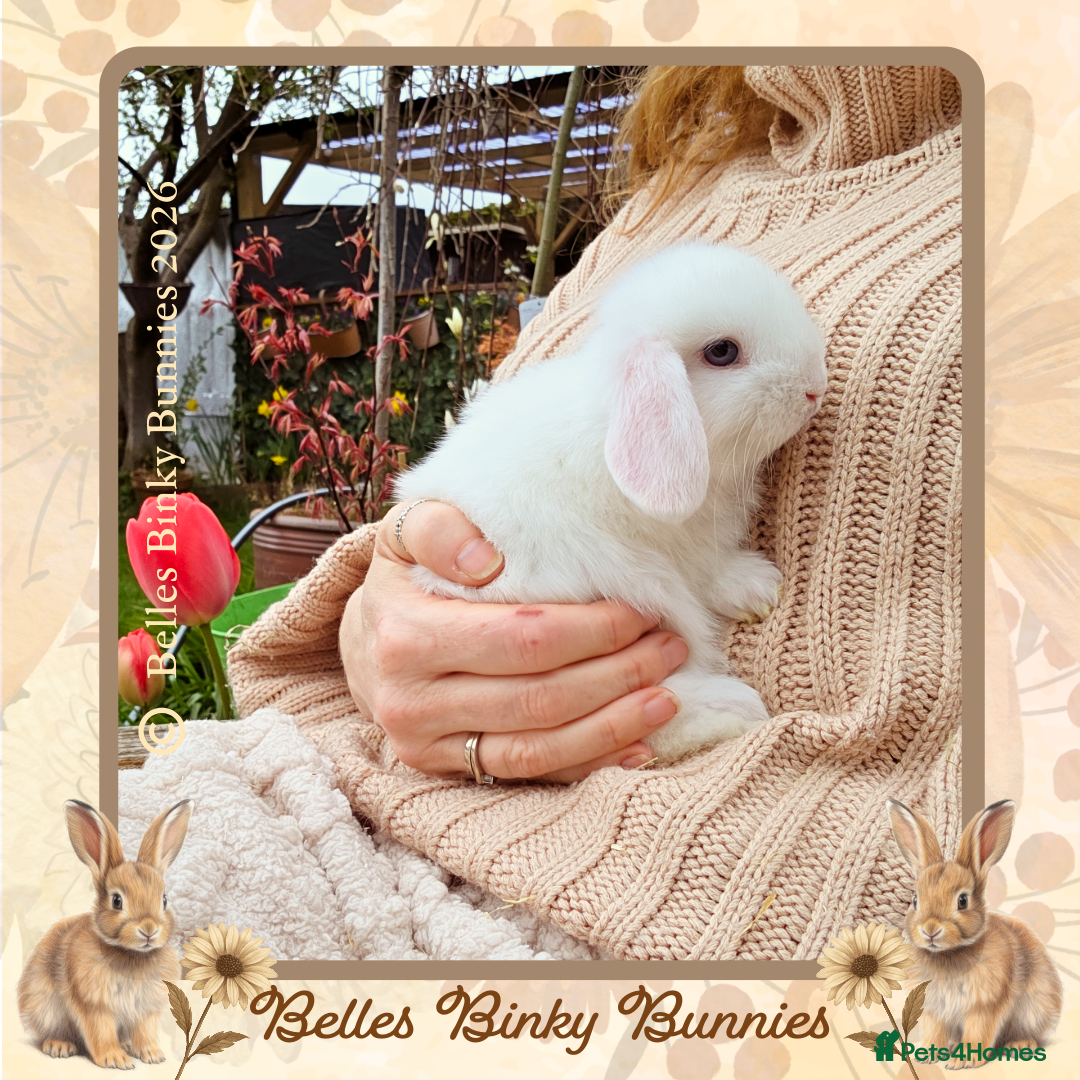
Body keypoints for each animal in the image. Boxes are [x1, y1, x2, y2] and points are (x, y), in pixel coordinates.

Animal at [17, 799, 194, 1069]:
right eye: (117, 900)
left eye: (164, 900)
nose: (149, 930)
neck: (131, 954)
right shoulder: (95, 1005)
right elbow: (101, 1031)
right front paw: (115, 1060)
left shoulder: (145, 1010)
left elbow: (145, 1031)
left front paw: (152, 1055)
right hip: (45, 1008)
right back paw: (59, 1046)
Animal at [396, 242, 828, 761]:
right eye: (722, 352)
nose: (815, 386)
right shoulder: (680, 549)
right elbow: (708, 569)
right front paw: (760, 589)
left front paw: (757, 592)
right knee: (662, 710)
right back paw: (731, 708)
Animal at [887, 798, 1063, 1066]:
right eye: (915, 900)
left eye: (962, 901)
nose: (930, 930)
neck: (949, 954)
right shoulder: (935, 1009)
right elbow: (934, 1031)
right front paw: (926, 1056)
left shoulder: (984, 1005)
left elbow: (978, 1031)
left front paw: (963, 1060)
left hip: (1034, 1009)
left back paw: (1019, 1045)